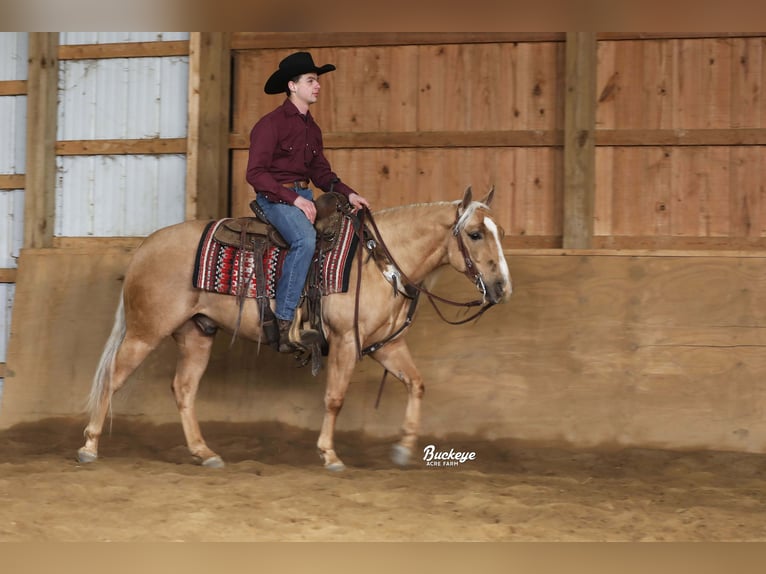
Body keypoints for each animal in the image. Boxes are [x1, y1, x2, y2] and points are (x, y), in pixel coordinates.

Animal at [78, 189, 512, 472]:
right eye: (475, 233)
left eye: (499, 233)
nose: (502, 288)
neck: (378, 260)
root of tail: (145, 247)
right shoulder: (346, 342)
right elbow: (335, 398)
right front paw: (330, 455)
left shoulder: (386, 346)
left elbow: (416, 384)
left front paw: (404, 449)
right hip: (145, 332)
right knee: (113, 378)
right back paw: (89, 446)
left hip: (196, 333)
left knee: (183, 389)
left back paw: (205, 453)